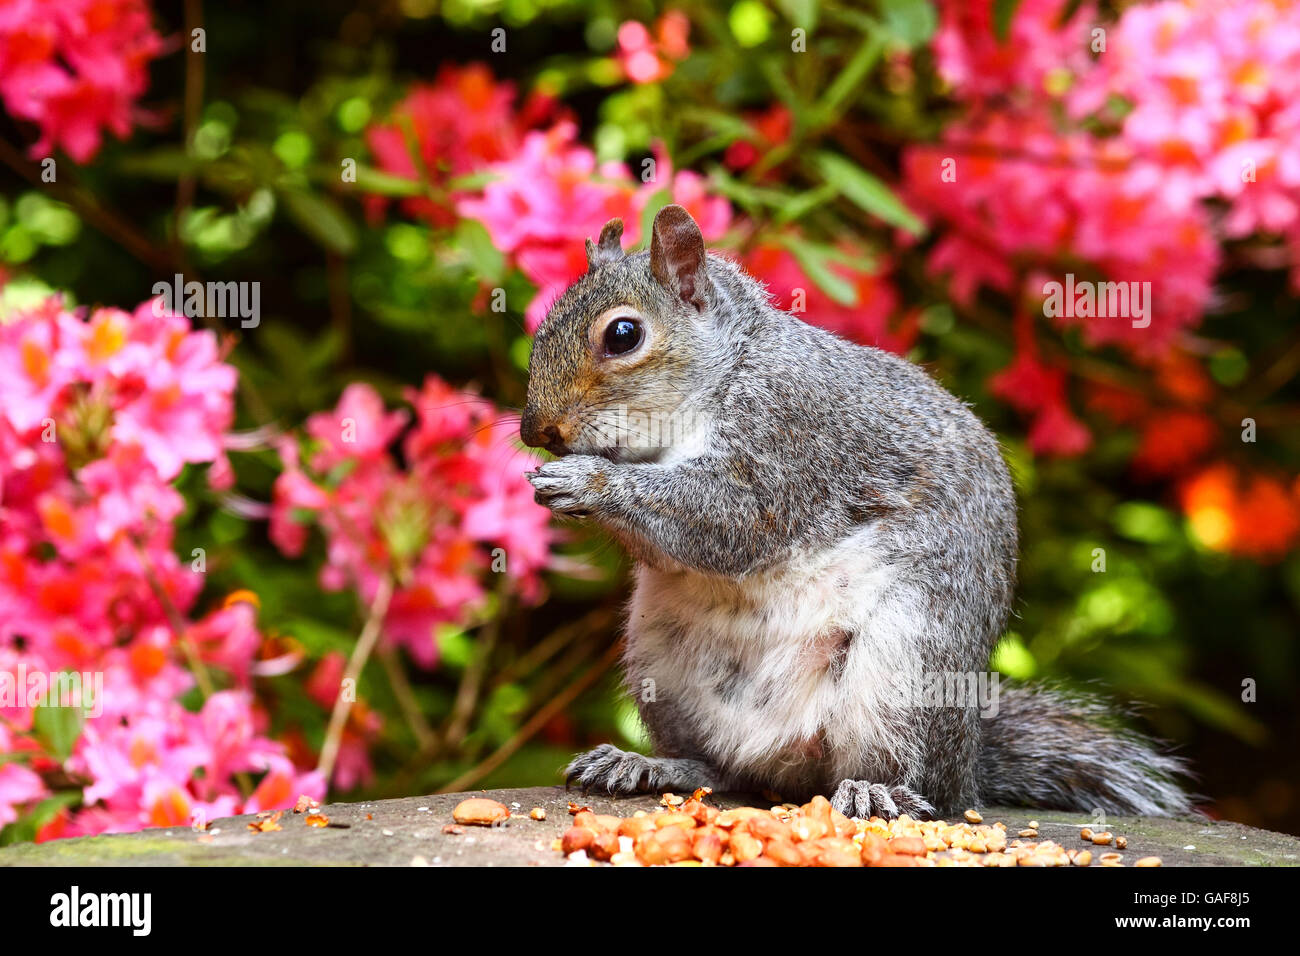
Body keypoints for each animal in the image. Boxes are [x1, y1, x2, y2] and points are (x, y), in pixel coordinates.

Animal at [520, 203, 1191, 819]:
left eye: (623, 335)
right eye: (542, 326)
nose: (536, 431)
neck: (726, 372)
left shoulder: (793, 438)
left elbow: (732, 520)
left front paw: (592, 481)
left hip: (909, 665)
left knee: (917, 784)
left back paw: (877, 790)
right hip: (659, 656)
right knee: (723, 769)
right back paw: (652, 765)